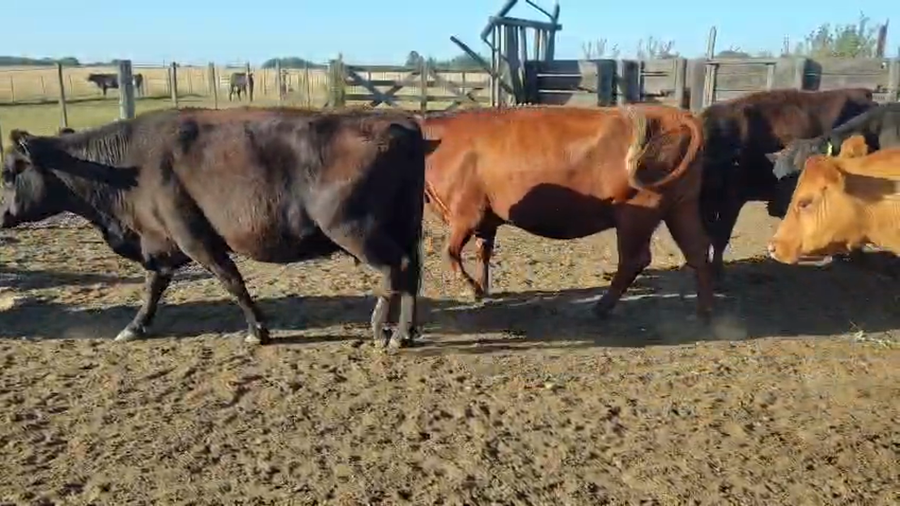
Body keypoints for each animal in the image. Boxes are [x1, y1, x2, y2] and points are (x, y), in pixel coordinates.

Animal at [0, 107, 429, 348]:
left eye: (8, 173)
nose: (2, 215)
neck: (126, 168)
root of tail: (400, 122)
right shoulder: (160, 244)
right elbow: (153, 288)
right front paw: (134, 328)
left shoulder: (196, 239)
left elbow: (231, 281)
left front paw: (258, 331)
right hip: (401, 228)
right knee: (410, 272)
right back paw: (403, 333)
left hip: (355, 230)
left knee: (394, 270)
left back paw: (381, 330)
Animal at [419, 104, 713, 320]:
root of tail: (675, 114)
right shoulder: (488, 219)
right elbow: (484, 253)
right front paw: (484, 287)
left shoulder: (467, 214)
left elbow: (451, 252)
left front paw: (473, 289)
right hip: (681, 207)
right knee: (697, 250)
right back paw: (704, 311)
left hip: (637, 212)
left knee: (634, 259)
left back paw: (601, 307)